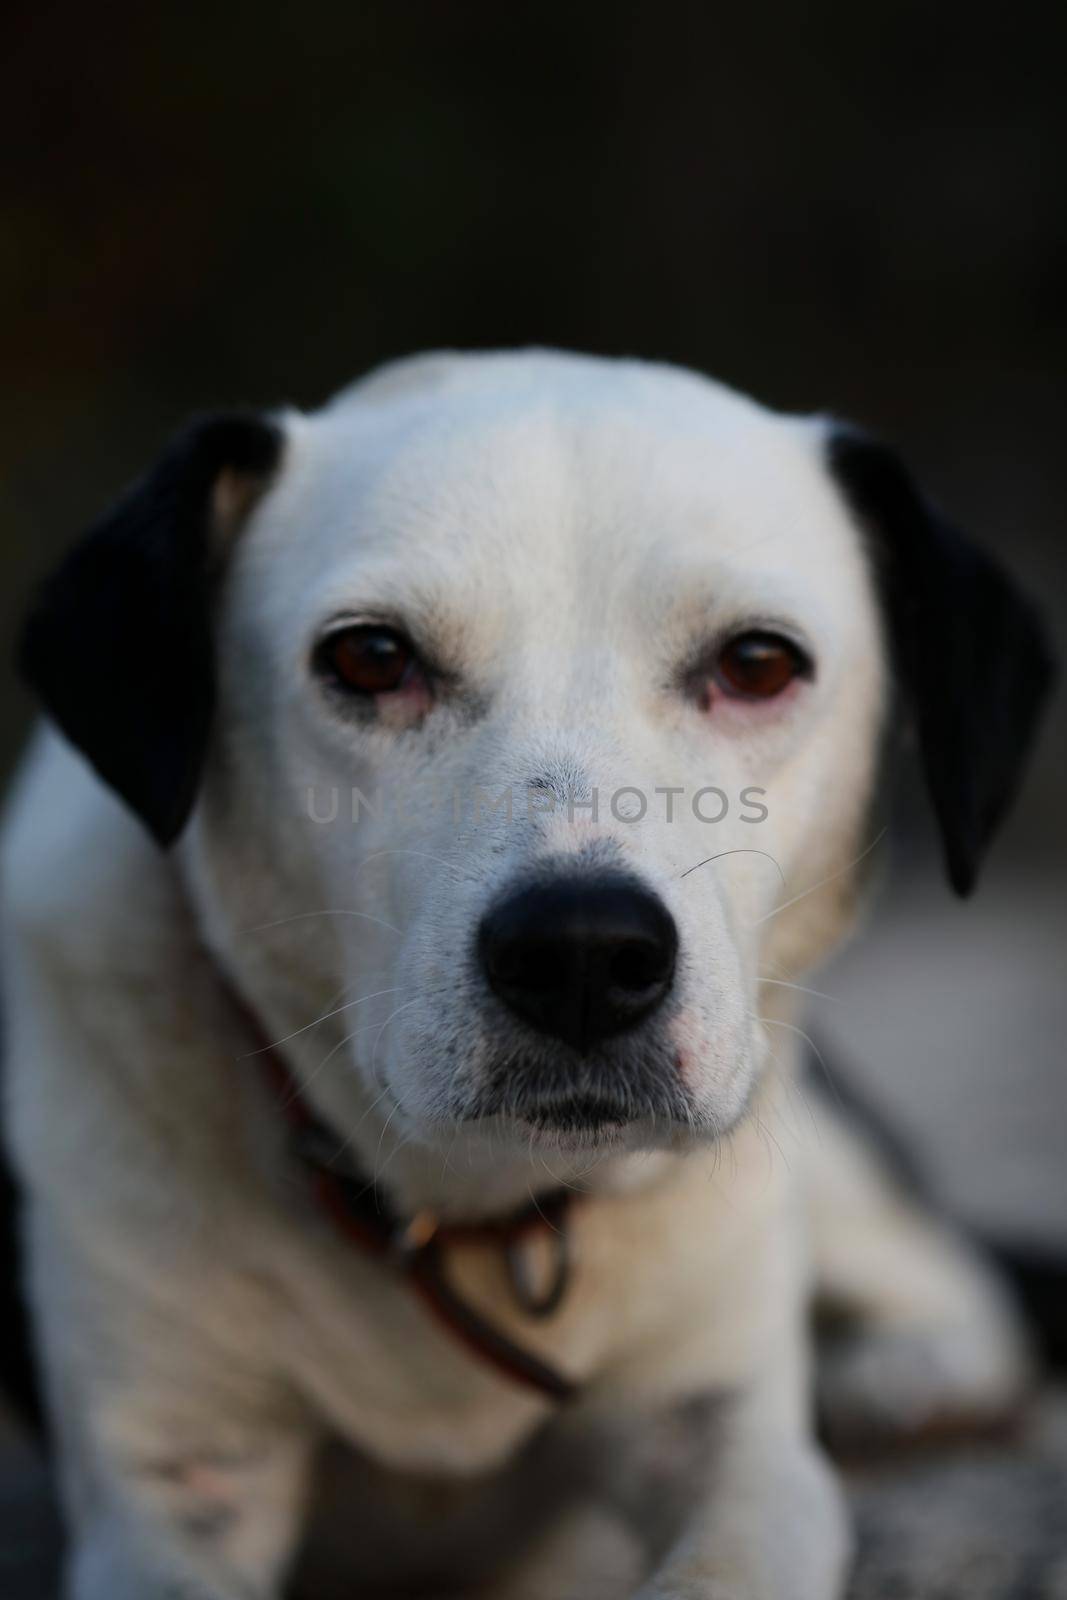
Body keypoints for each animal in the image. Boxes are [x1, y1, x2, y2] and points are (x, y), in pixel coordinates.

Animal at [0, 350, 1049, 1600]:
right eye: (368, 657)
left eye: (755, 663)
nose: (582, 954)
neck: (473, 1211)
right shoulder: (173, 1481)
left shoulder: (729, 1439)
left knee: (962, 1272)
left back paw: (900, 1374)